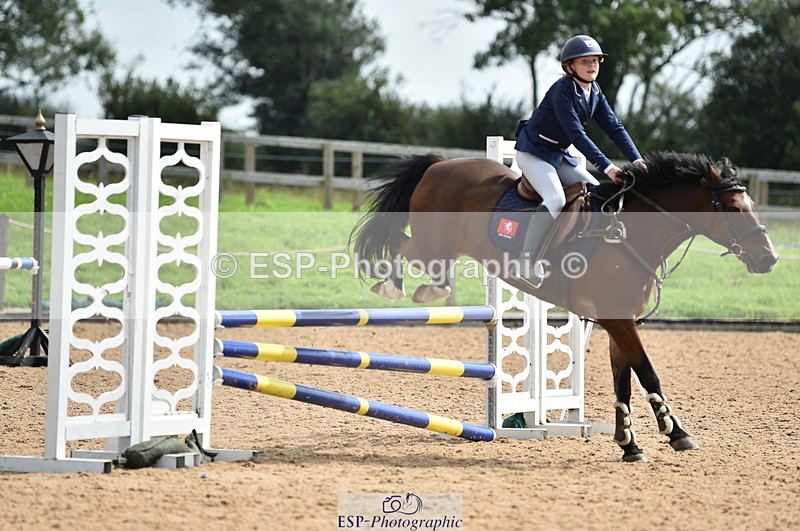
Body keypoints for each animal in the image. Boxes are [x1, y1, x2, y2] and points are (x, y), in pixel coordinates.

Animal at [350, 151, 778, 462]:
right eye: (735, 209)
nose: (769, 260)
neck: (632, 233)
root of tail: (441, 164)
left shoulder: (618, 322)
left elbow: (623, 381)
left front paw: (628, 444)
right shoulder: (619, 320)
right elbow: (648, 374)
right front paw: (677, 434)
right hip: (431, 245)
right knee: (401, 245)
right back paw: (400, 286)